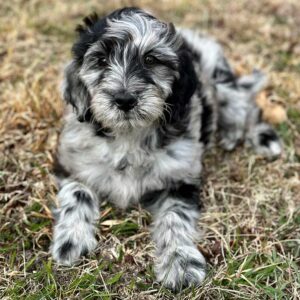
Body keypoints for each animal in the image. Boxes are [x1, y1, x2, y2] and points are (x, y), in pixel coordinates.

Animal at [51, 6, 282, 288]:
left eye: (151, 60)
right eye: (101, 60)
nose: (124, 99)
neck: (129, 135)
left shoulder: (179, 178)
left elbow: (175, 217)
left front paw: (180, 263)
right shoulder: (72, 161)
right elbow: (77, 193)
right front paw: (71, 241)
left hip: (221, 81)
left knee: (244, 104)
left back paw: (256, 136)